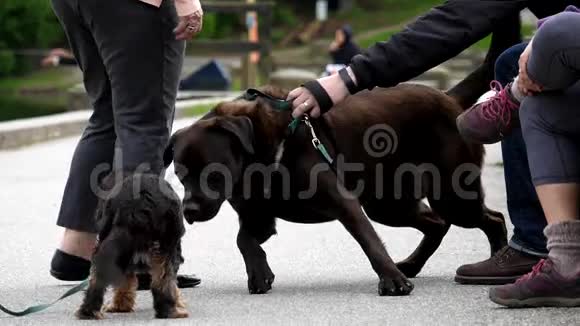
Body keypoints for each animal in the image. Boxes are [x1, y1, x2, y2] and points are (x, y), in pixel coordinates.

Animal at [76, 174, 187, 320]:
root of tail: (139, 202)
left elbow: (126, 279)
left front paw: (120, 306)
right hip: (166, 247)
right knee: (164, 280)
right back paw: (170, 311)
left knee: (99, 273)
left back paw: (89, 311)